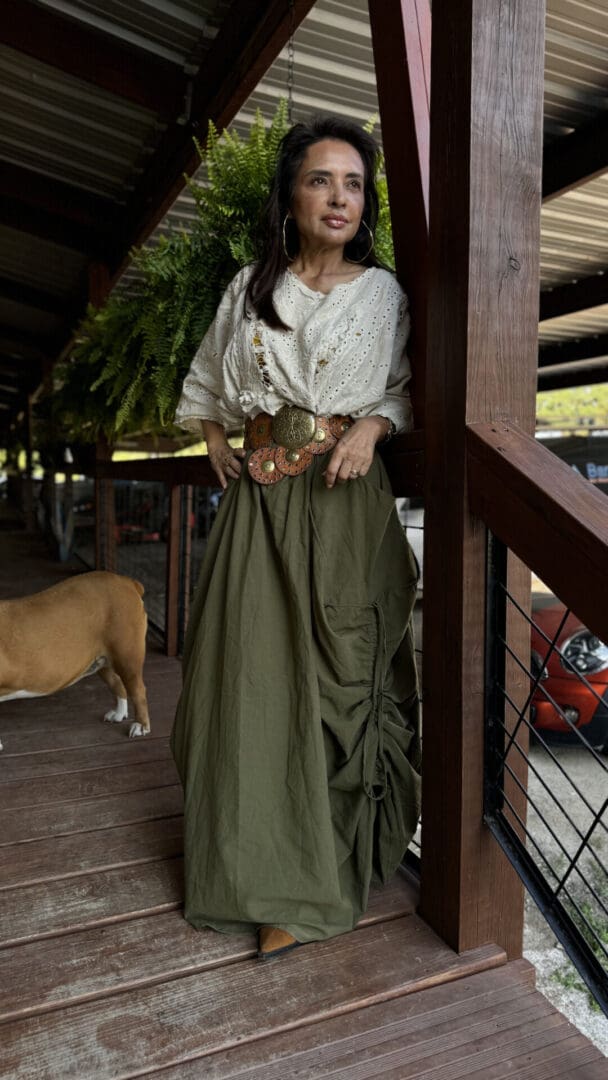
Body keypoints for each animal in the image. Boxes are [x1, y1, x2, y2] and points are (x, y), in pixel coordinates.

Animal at [0, 574, 151, 751]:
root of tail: (127, 582)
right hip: (102, 661)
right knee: (117, 684)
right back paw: (118, 714)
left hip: (128, 659)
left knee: (138, 691)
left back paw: (141, 725)